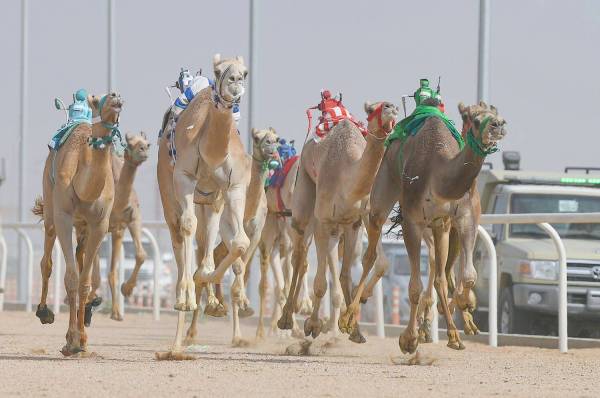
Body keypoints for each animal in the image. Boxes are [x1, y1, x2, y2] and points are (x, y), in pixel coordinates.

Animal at [34, 91, 124, 354]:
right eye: (97, 100)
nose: (115, 97)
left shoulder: (100, 224)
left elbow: (84, 281)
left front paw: (81, 340)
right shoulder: (64, 217)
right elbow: (71, 278)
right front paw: (72, 342)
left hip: (83, 226)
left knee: (81, 255)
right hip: (51, 207)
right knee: (47, 261)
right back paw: (44, 312)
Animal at [157, 53, 248, 352]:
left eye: (245, 71)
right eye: (218, 71)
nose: (235, 81)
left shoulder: (233, 187)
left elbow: (239, 242)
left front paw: (212, 294)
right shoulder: (184, 178)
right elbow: (187, 225)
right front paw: (187, 295)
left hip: (211, 199)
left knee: (207, 236)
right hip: (168, 192)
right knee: (179, 235)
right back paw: (181, 305)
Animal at [183, 127, 278, 346]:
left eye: (276, 139)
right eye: (256, 138)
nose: (270, 147)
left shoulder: (257, 232)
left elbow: (240, 269)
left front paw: (244, 309)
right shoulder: (227, 226)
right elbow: (237, 267)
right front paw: (237, 333)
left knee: (216, 256)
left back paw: (218, 305)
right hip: (204, 218)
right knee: (203, 257)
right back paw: (194, 329)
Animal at [278, 98, 400, 342]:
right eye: (371, 109)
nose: (391, 108)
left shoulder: (354, 223)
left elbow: (346, 274)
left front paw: (353, 328)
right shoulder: (323, 221)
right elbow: (319, 283)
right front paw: (313, 324)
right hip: (304, 198)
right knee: (299, 257)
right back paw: (287, 317)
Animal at [356, 101, 506, 352]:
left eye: (497, 116)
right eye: (474, 119)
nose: (498, 125)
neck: (440, 178)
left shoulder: (459, 219)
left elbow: (465, 276)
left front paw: (460, 320)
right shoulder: (413, 222)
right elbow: (415, 286)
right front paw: (408, 339)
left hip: (440, 228)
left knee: (441, 272)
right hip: (383, 188)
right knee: (370, 251)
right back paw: (350, 322)